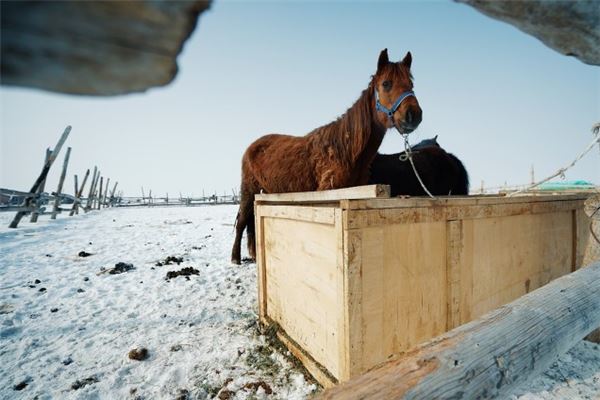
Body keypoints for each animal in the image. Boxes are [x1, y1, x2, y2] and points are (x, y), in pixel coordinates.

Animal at [230, 48, 422, 264]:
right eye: (386, 84)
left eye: (411, 84)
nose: (413, 115)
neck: (344, 151)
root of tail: (252, 146)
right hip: (248, 190)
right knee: (242, 222)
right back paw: (235, 258)